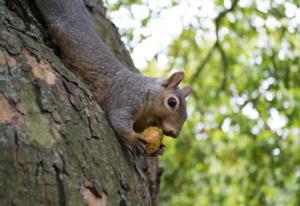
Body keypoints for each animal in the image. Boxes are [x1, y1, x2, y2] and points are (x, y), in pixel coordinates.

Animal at [34, 0, 192, 154]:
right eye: (172, 102)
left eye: (186, 116)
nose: (174, 133)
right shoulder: (126, 95)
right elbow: (119, 118)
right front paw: (133, 139)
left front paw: (159, 149)